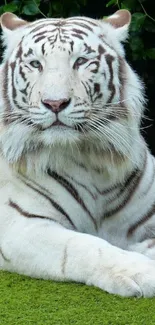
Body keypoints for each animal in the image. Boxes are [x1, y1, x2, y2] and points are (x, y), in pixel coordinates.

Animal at [0, 8, 155, 294]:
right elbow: (85, 246)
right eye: (36, 64)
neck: (92, 158)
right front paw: (141, 272)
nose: (55, 103)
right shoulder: (20, 225)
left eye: (81, 61)